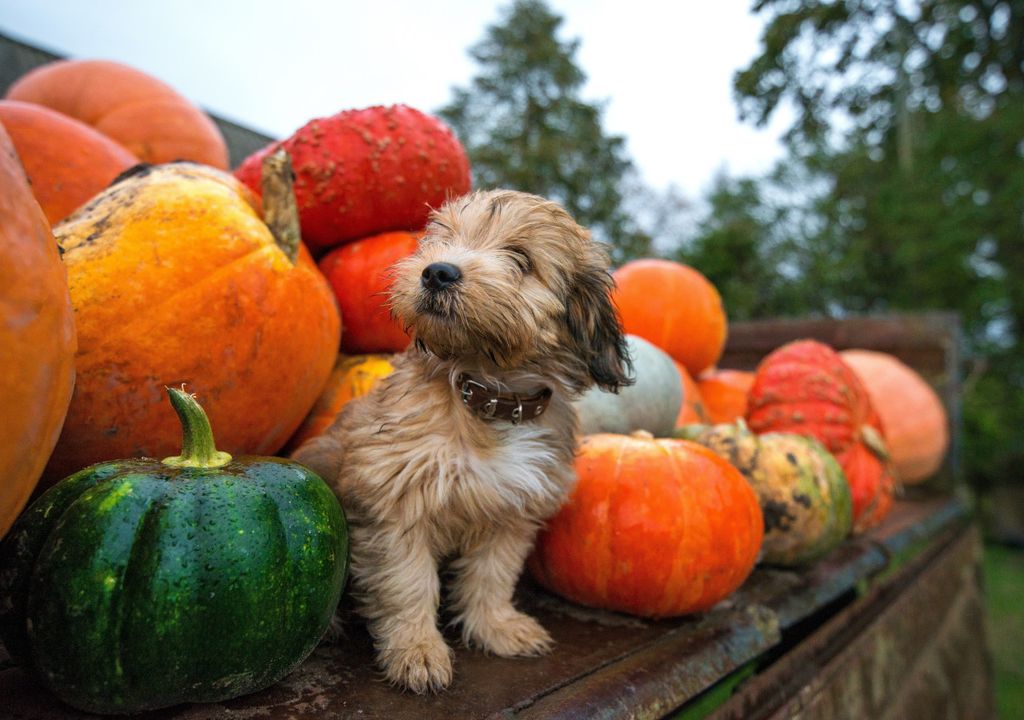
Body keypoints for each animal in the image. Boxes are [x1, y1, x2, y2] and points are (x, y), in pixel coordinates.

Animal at [294, 188, 630, 696]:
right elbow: (408, 583)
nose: (438, 271)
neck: (488, 395)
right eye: (444, 240)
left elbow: (492, 576)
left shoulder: (514, 512)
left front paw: (496, 627)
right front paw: (416, 650)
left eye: (521, 259)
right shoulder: (396, 503)